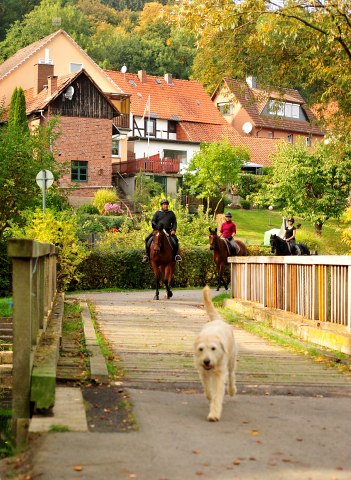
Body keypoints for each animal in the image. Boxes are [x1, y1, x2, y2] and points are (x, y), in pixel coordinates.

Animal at [194, 284, 238, 420]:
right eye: (201, 349)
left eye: (213, 348)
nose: (207, 361)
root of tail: (217, 319)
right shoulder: (203, 372)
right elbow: (208, 389)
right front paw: (209, 397)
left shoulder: (219, 374)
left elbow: (217, 395)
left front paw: (214, 414)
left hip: (231, 361)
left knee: (231, 375)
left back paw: (232, 390)